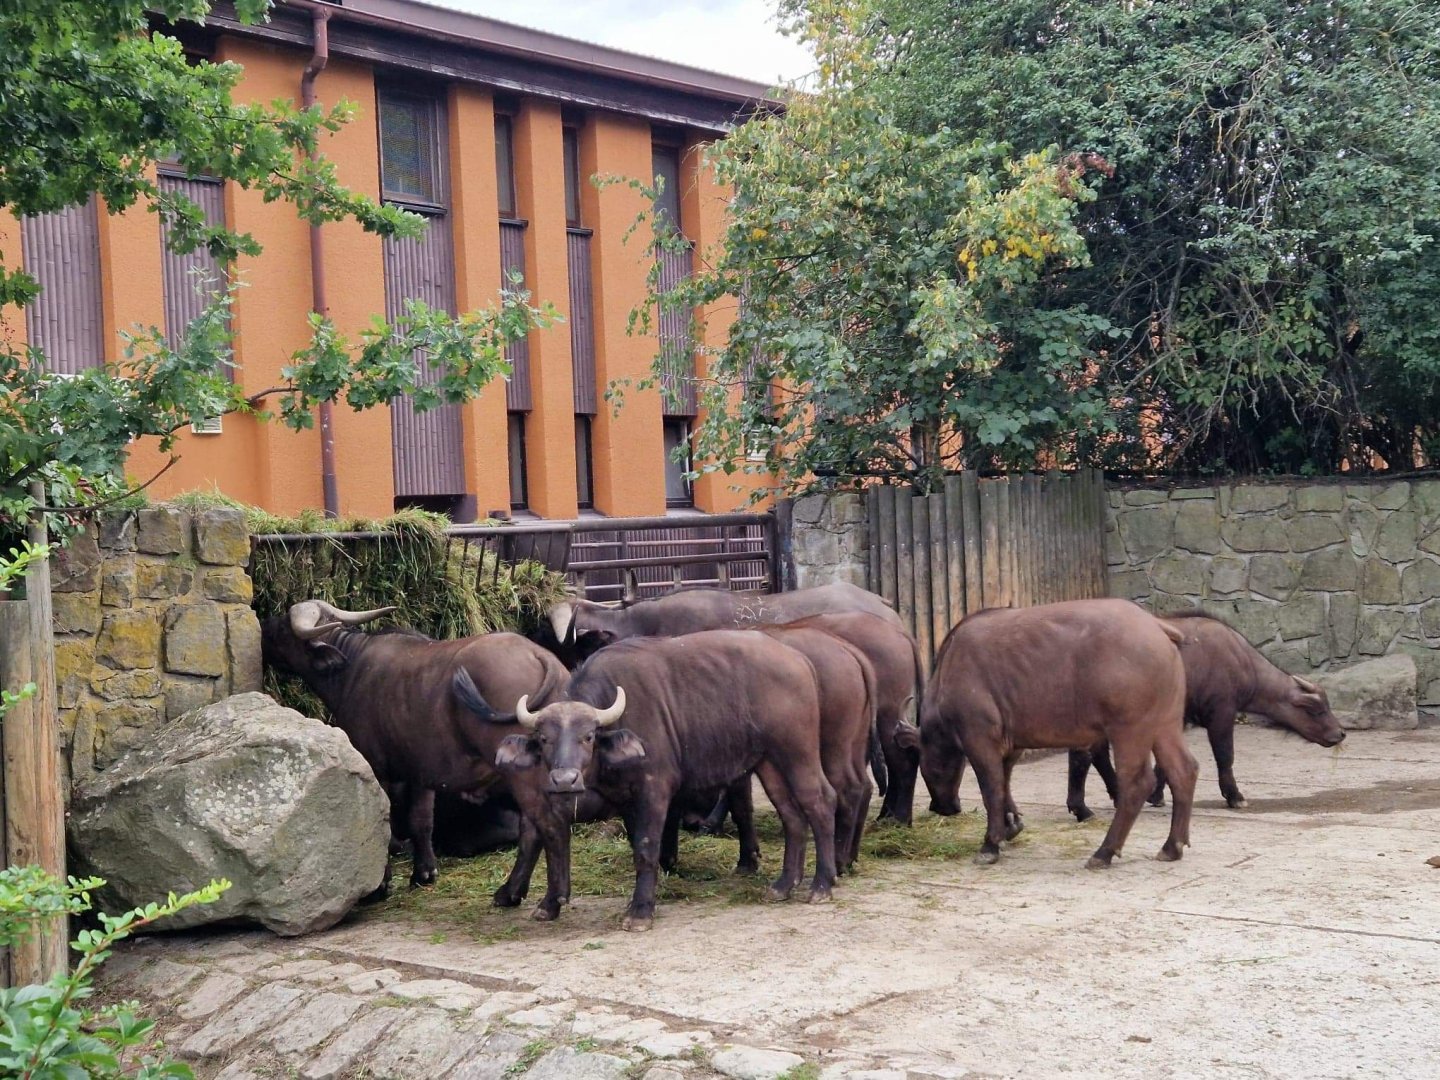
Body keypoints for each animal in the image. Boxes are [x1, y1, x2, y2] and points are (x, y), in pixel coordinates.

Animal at [260, 599, 568, 886]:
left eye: (285, 627)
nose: (264, 626)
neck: (351, 668)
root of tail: (540, 655)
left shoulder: (377, 768)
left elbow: (382, 823)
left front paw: (382, 883)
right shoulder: (421, 770)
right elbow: (421, 820)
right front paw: (424, 872)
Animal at [920, 599, 1196, 868]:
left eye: (927, 770)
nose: (941, 808)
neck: (950, 670)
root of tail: (1155, 626)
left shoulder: (980, 741)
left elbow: (992, 789)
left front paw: (990, 844)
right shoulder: (1011, 746)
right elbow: (1005, 782)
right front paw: (1011, 825)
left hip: (1130, 732)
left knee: (1136, 784)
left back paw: (1104, 852)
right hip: (1164, 725)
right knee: (1183, 771)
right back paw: (1171, 847)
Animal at [1067, 611, 1345, 820]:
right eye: (1317, 710)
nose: (1340, 733)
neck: (1239, 659)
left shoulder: (1179, 719)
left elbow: (1164, 761)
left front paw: (1156, 795)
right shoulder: (1222, 712)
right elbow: (1225, 755)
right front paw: (1235, 797)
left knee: (1094, 754)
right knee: (1084, 755)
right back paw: (1084, 808)